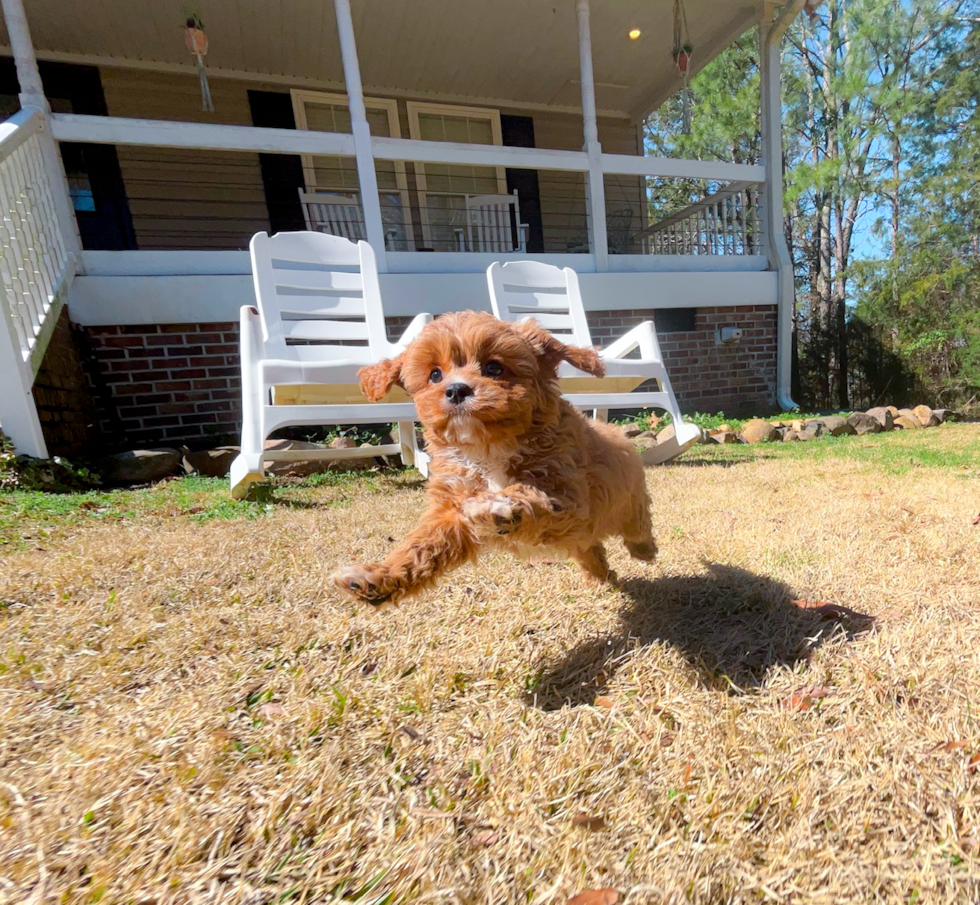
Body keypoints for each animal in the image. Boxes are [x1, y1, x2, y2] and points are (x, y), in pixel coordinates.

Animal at [332, 312, 660, 608]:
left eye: (494, 367)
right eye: (435, 375)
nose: (456, 389)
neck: (487, 446)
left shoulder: (570, 495)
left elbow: (531, 494)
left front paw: (496, 505)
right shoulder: (450, 506)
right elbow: (423, 545)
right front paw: (377, 579)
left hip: (627, 505)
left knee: (636, 526)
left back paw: (644, 550)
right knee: (588, 547)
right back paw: (598, 576)